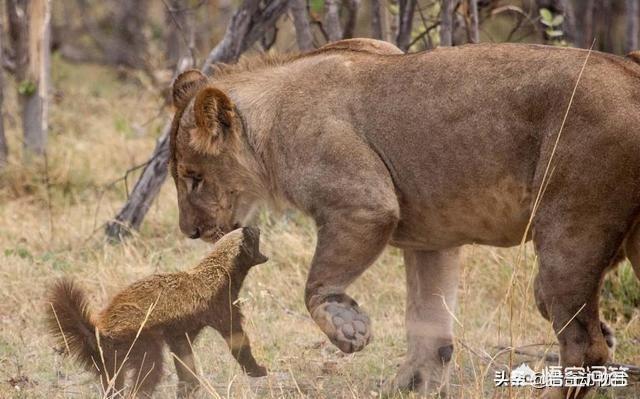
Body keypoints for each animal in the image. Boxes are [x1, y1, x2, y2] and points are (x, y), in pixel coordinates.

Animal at [47, 227, 268, 398]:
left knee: (112, 383)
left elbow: (184, 357)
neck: (220, 270)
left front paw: (188, 387)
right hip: (141, 340)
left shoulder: (180, 331)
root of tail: (99, 331)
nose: (256, 226)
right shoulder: (220, 305)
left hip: (111, 360)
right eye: (252, 234)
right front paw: (258, 370)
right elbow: (236, 339)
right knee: (148, 371)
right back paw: (139, 393)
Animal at [166, 38, 640, 399]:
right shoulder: (433, 237)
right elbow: (429, 324)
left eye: (193, 178)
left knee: (584, 348)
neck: (268, 126)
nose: (189, 232)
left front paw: (349, 329)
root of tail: (629, 73)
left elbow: (316, 286)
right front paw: (412, 385)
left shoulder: (364, 203)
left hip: (570, 229)